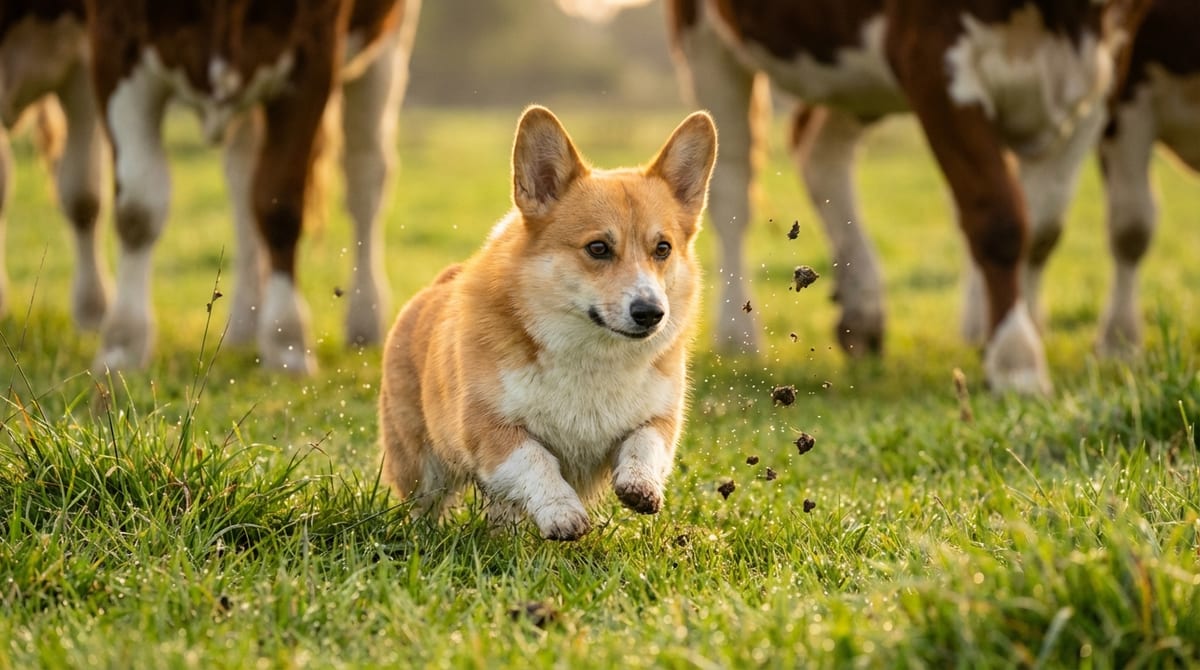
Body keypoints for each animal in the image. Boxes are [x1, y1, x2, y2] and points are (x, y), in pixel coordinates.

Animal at [83, 0, 421, 376]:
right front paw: (123, 344)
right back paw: (244, 323)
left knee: (366, 175)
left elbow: (280, 205)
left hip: (389, 42)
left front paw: (287, 341)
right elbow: (138, 210)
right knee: (243, 181)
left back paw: (366, 320)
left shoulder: (313, 53)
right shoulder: (114, 42)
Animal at [668, 0, 1151, 394]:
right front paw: (1016, 359)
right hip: (707, 39)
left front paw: (1011, 336)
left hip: (852, 75)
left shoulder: (1105, 74)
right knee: (732, 187)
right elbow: (999, 219)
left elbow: (1042, 230)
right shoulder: (932, 60)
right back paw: (739, 335)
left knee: (819, 145)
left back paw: (862, 314)